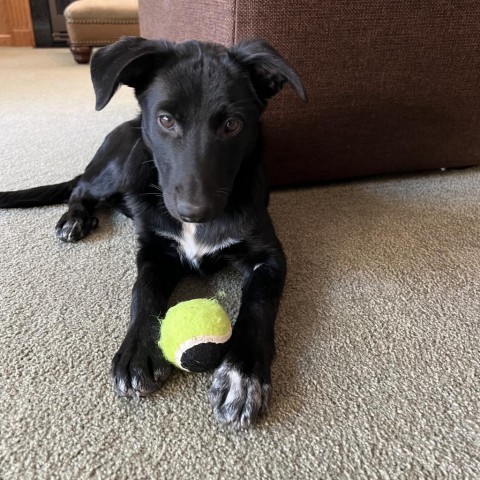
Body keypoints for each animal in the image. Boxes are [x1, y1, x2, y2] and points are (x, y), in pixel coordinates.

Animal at [0, 35, 306, 430]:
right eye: (165, 120)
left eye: (232, 124)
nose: (195, 211)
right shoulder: (154, 252)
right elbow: (142, 293)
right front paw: (137, 350)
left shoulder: (269, 257)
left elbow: (258, 306)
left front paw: (243, 375)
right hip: (120, 163)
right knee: (80, 187)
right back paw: (75, 219)